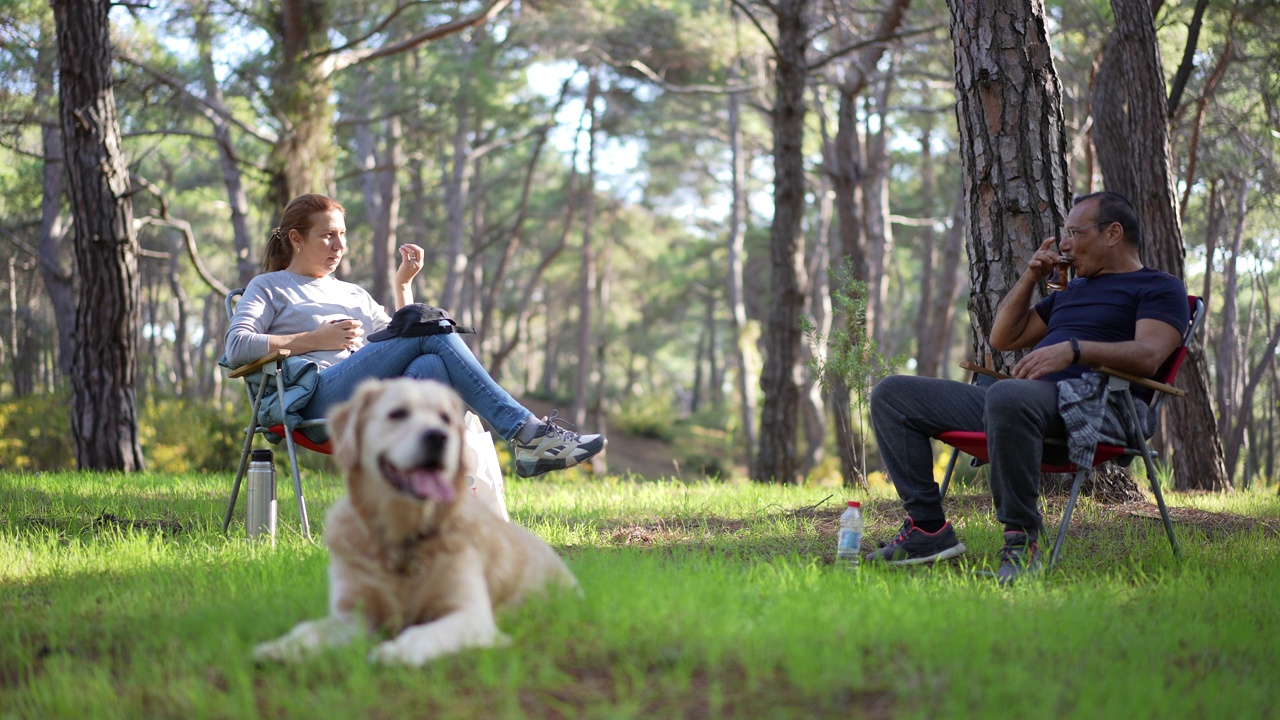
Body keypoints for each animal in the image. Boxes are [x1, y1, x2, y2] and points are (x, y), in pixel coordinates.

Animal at [252, 379, 578, 666]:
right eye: (397, 413)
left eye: (446, 418)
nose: (438, 437)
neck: (403, 533)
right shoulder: (352, 615)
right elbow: (309, 630)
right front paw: (282, 647)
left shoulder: (471, 615)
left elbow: (423, 633)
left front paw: (396, 652)